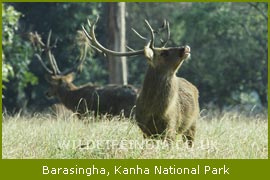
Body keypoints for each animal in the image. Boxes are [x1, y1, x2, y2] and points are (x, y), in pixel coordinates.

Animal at [83, 17, 199, 146]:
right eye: (164, 53)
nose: (186, 47)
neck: (154, 111)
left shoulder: (171, 127)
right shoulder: (145, 130)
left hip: (193, 123)